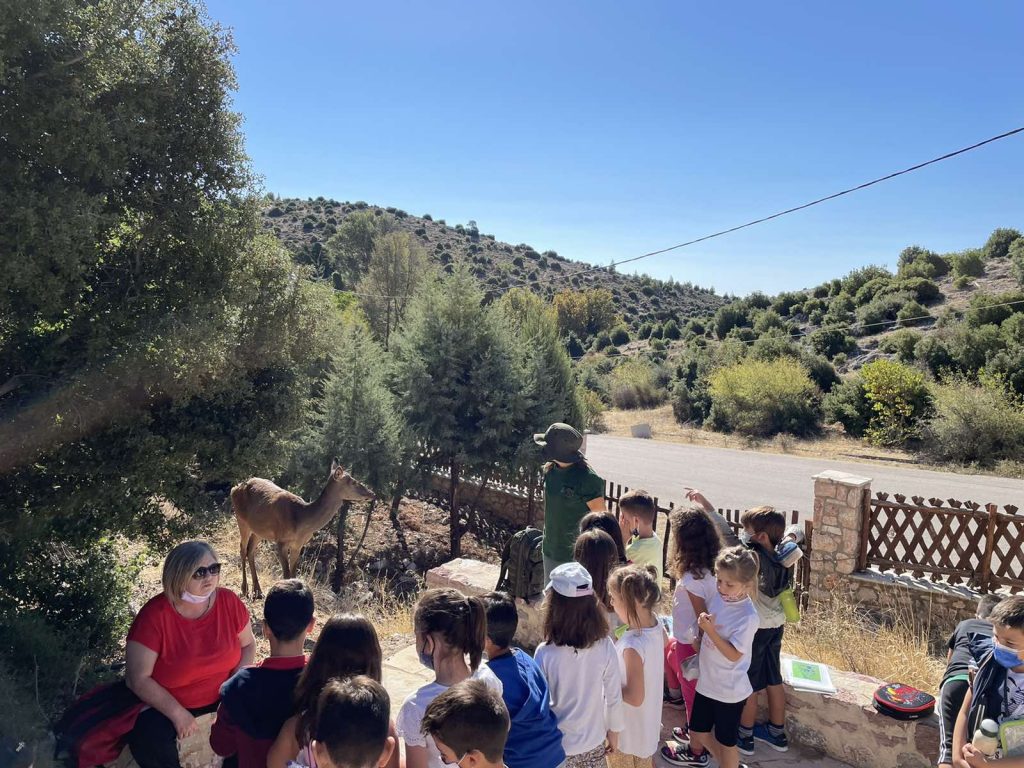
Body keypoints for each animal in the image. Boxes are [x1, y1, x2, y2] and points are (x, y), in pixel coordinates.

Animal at [231, 459, 374, 598]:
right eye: (353, 482)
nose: (372, 493)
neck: (301, 520)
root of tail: (235, 488)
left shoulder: (298, 545)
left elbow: (293, 574)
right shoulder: (281, 541)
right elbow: (286, 575)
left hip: (258, 530)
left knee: (250, 550)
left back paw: (258, 591)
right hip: (241, 519)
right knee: (242, 548)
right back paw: (244, 589)